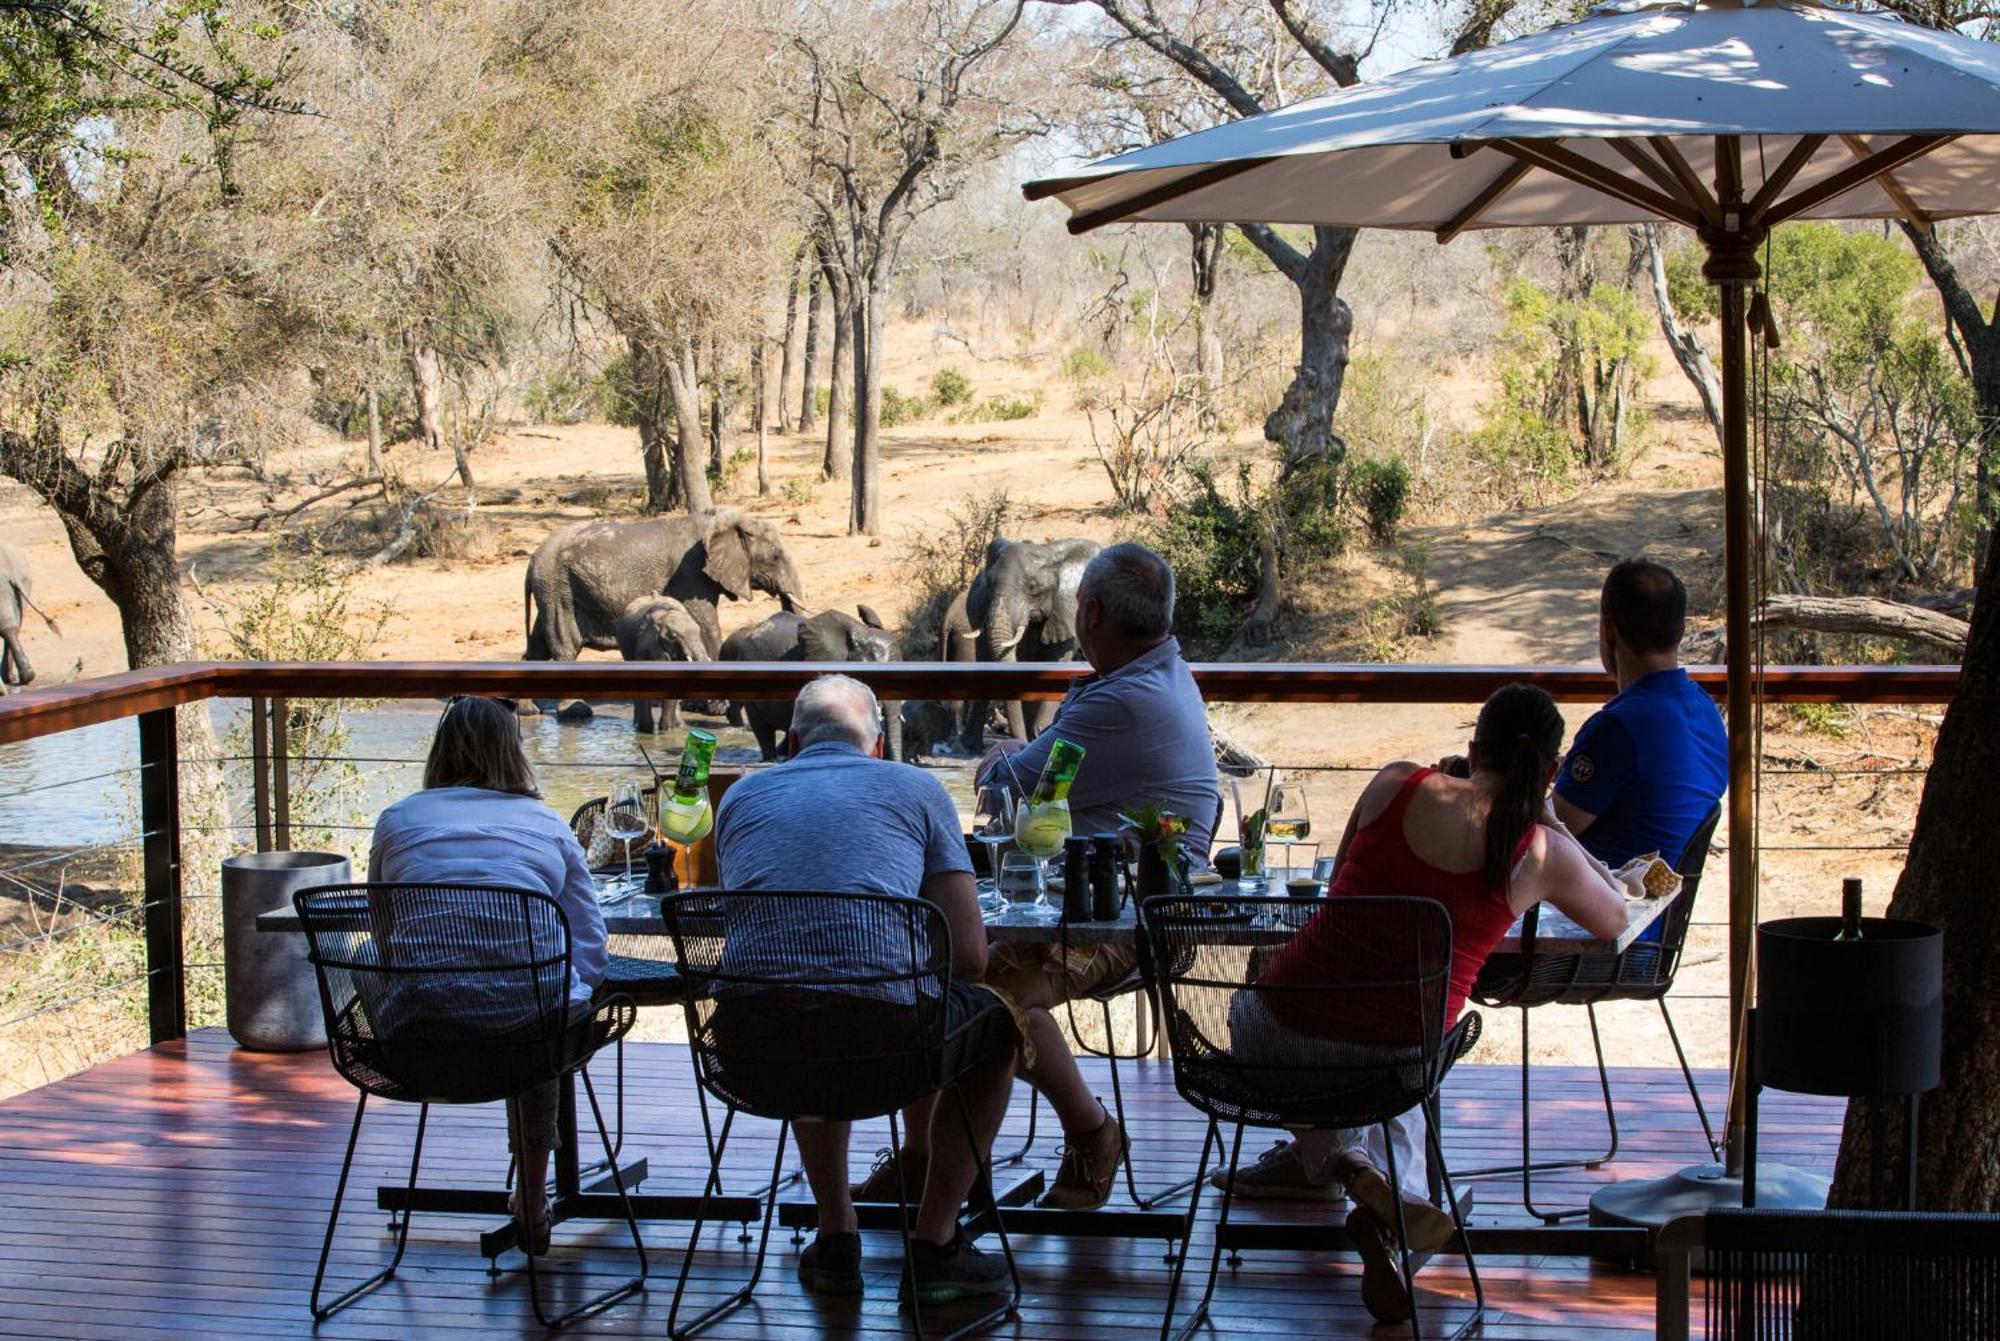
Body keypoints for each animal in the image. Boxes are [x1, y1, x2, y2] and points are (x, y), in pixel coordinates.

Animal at [520, 504, 808, 712]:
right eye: (775, 558)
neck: (718, 520)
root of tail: (532, 561)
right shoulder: (690, 572)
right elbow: (706, 625)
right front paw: (715, 707)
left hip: (553, 589)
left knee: (538, 644)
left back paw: (529, 711)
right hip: (558, 588)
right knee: (565, 645)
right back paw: (576, 712)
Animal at [616, 596, 712, 736]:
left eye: (699, 632)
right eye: (673, 637)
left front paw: (667, 731)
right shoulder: (645, 646)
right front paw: (646, 730)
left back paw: (679, 726)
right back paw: (637, 726)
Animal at [956, 536, 1104, 752]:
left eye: (1033, 587)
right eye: (989, 585)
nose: (1022, 742)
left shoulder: (1067, 609)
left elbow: (1055, 662)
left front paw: (1040, 732)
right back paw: (970, 746)